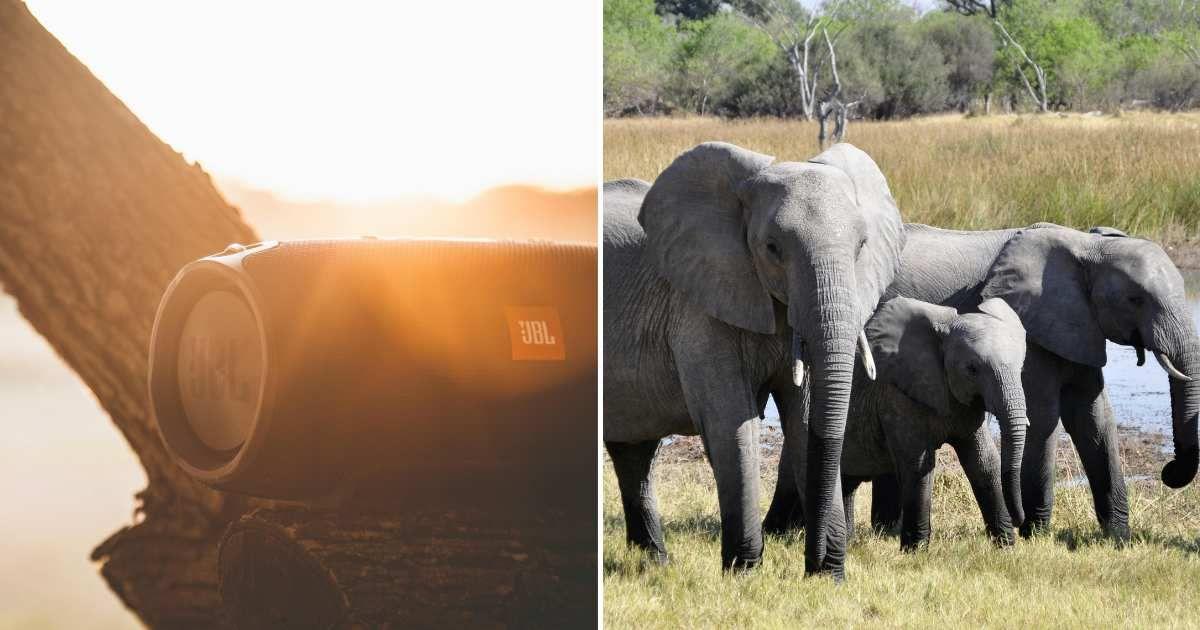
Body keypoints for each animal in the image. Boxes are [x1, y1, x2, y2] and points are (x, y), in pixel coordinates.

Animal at [603, 142, 905, 577]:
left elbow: (805, 418)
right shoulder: (698, 306)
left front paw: (827, 577)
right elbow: (731, 423)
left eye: (862, 246)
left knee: (634, 451)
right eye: (772, 248)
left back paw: (656, 562)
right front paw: (743, 572)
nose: (816, 563)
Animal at [839, 296, 1028, 550]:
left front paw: (1006, 548)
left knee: (847, 482)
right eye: (972, 369)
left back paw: (846, 541)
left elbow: (984, 462)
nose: (1020, 521)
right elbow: (919, 466)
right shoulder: (897, 395)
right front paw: (916, 552)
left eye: (1021, 368)